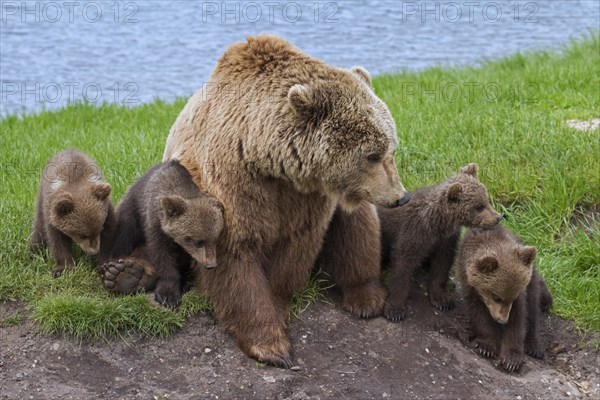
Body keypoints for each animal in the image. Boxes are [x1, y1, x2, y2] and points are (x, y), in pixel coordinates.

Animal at [161, 36, 408, 368]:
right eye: (372, 155)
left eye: (391, 149)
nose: (400, 197)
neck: (268, 161)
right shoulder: (232, 184)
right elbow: (235, 257)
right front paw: (271, 345)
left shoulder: (307, 198)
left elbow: (295, 248)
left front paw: (279, 305)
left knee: (358, 227)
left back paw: (365, 297)